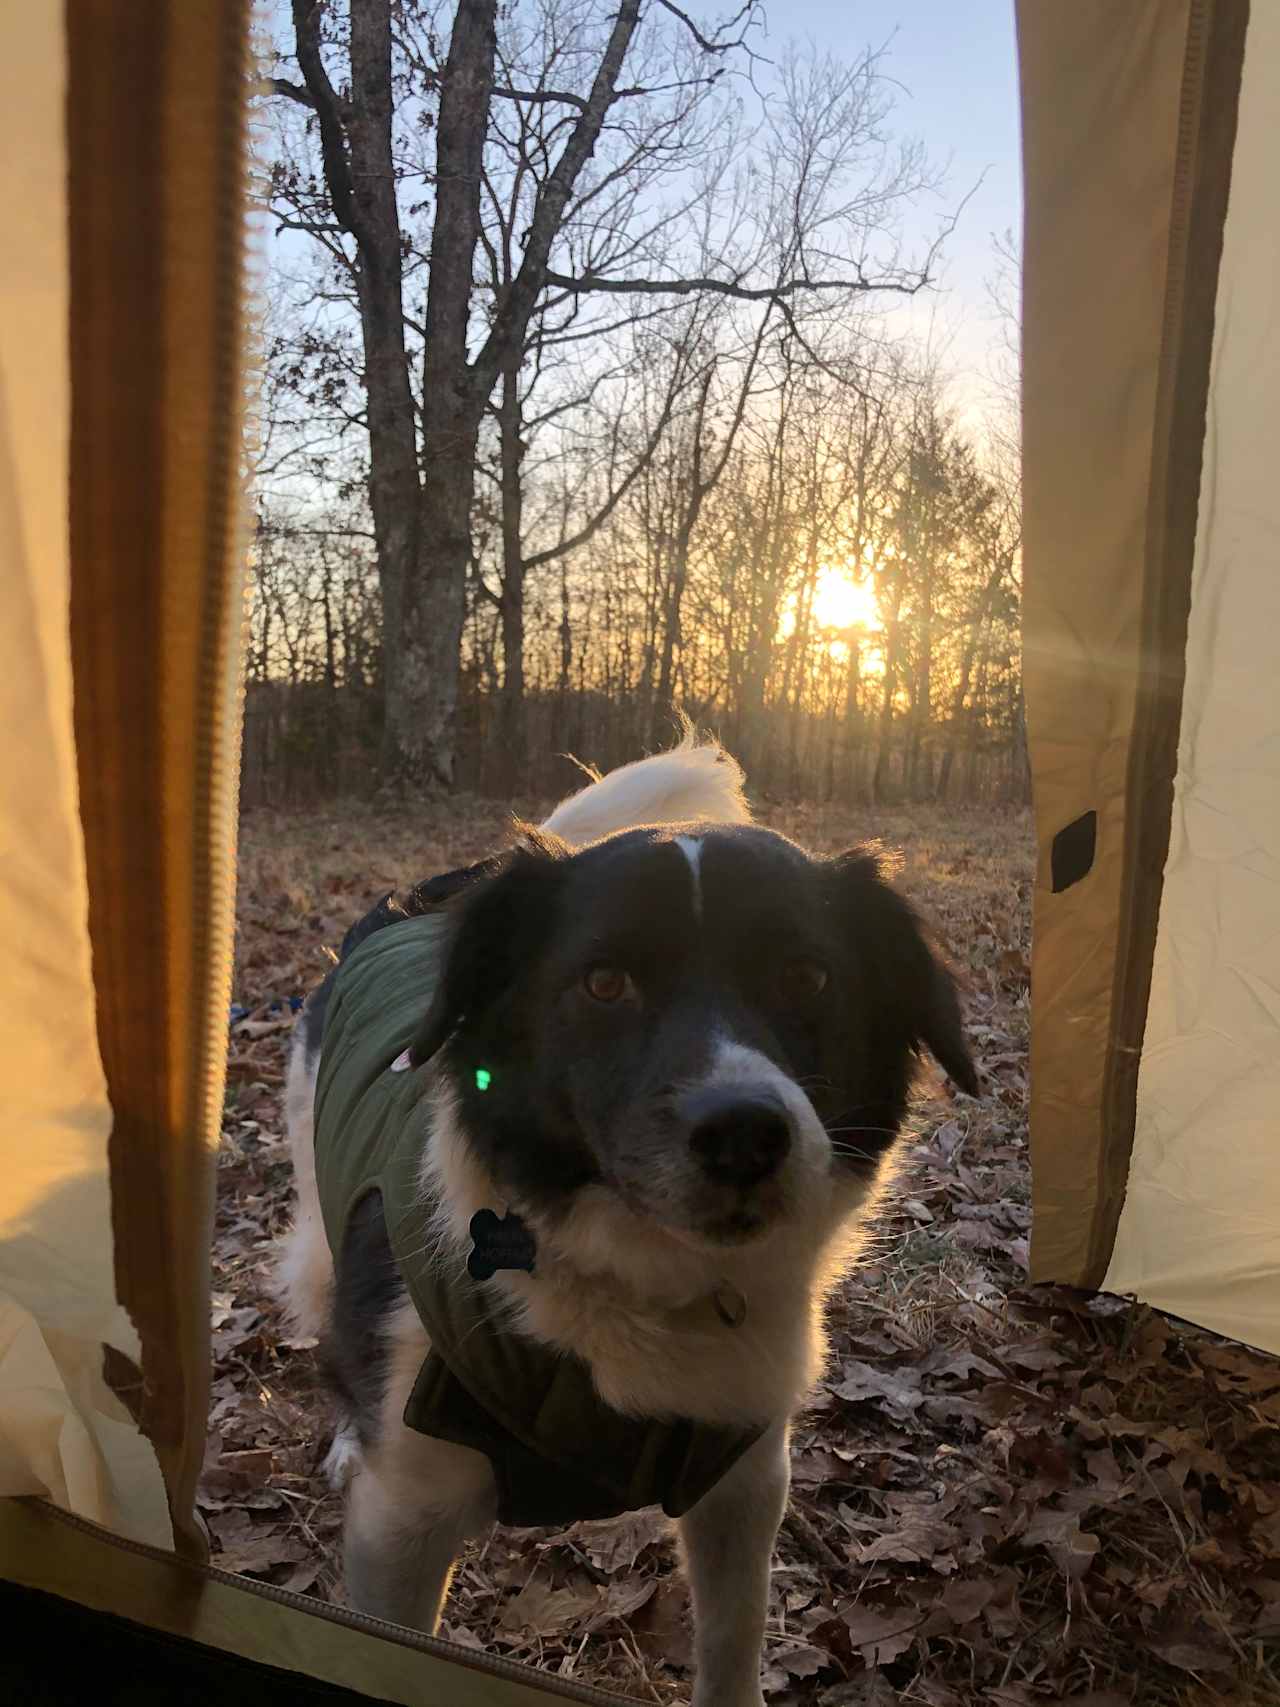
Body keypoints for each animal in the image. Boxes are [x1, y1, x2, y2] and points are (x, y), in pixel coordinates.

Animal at [279, 734, 983, 1707]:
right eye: (605, 983)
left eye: (807, 976)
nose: (744, 1135)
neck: (640, 1280)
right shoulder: (402, 1524)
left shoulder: (744, 1478)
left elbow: (731, 1642)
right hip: (321, 1226)